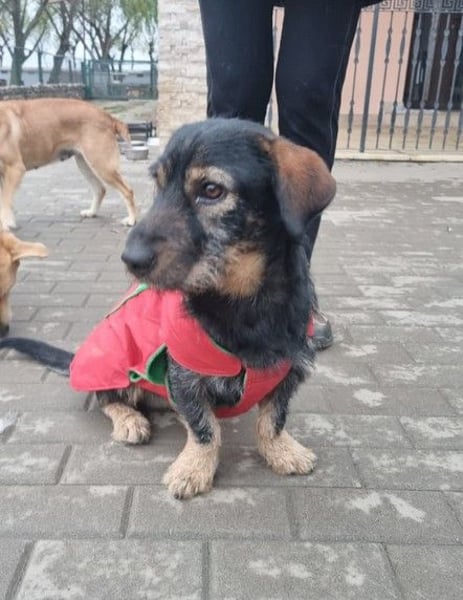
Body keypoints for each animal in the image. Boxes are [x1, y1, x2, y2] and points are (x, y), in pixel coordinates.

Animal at [0, 97, 137, 230]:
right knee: (100, 189)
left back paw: (131, 220)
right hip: (85, 165)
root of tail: (107, 116)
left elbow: (6, 201)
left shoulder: (15, 168)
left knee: (127, 190)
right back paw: (92, 212)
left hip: (102, 166)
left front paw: (7, 224)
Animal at [0, 118, 336, 499]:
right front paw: (194, 468)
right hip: (115, 366)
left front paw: (281, 451)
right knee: (104, 398)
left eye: (211, 190)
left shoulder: (289, 369)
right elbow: (204, 429)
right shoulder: (184, 374)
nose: (130, 260)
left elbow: (273, 419)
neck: (244, 302)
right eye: (158, 185)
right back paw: (130, 420)